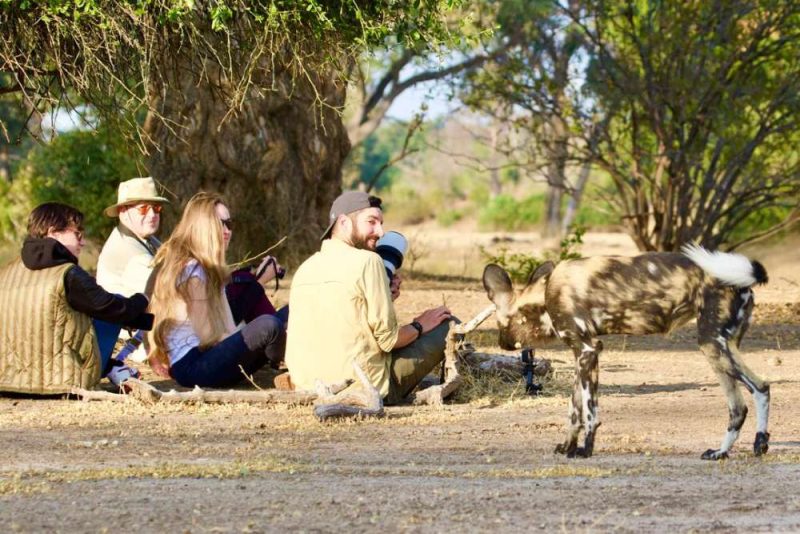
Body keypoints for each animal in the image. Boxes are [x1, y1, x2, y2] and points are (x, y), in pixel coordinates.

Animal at [482, 247, 768, 460]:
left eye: (499, 322)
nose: (501, 343)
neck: (544, 295)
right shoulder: (584, 354)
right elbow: (574, 409)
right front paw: (567, 446)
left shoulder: (588, 350)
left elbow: (588, 412)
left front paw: (585, 449)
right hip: (720, 348)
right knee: (742, 404)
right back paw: (725, 451)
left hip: (711, 344)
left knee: (759, 388)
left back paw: (753, 444)